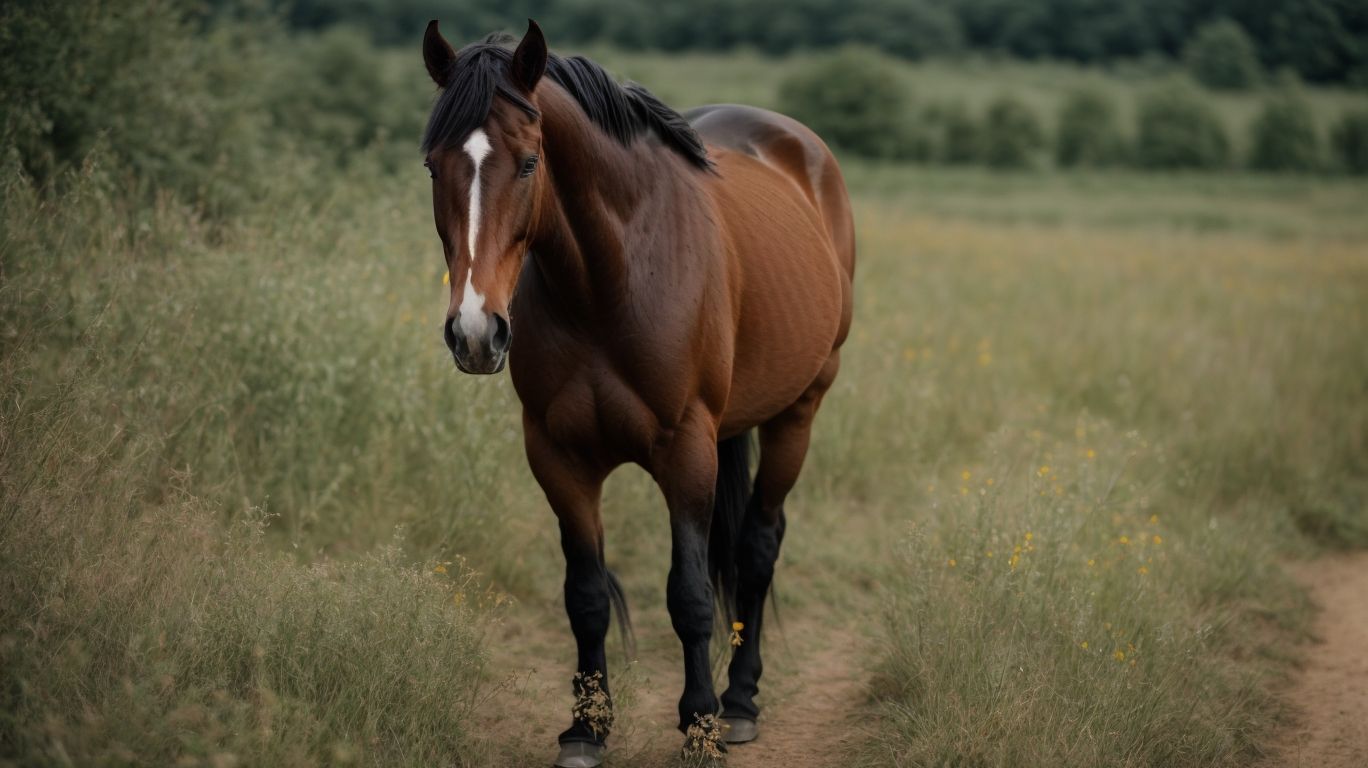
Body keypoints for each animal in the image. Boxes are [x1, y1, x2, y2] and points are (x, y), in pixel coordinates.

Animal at [420, 19, 855, 765]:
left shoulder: (685, 451)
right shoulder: (557, 456)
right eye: (431, 166)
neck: (609, 279)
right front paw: (585, 728)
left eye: (529, 163)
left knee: (758, 547)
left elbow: (689, 596)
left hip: (798, 412)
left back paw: (741, 702)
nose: (475, 332)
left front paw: (701, 723)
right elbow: (586, 594)